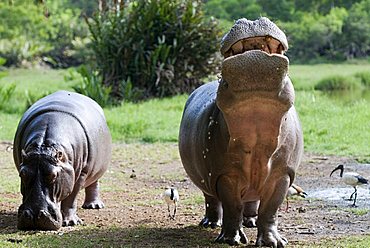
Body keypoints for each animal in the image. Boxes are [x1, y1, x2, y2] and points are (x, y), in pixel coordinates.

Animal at [13, 90, 111, 230]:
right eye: (22, 174)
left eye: (54, 175)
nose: (34, 216)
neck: (44, 147)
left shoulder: (80, 174)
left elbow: (71, 198)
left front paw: (70, 223)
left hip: (95, 168)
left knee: (94, 183)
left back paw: (94, 206)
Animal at [179, 17, 304, 246]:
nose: (253, 20)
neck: (257, 138)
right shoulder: (224, 175)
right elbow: (232, 206)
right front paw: (231, 240)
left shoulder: (282, 174)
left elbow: (270, 209)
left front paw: (274, 242)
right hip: (205, 181)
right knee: (212, 200)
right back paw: (211, 224)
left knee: (252, 202)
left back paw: (251, 223)